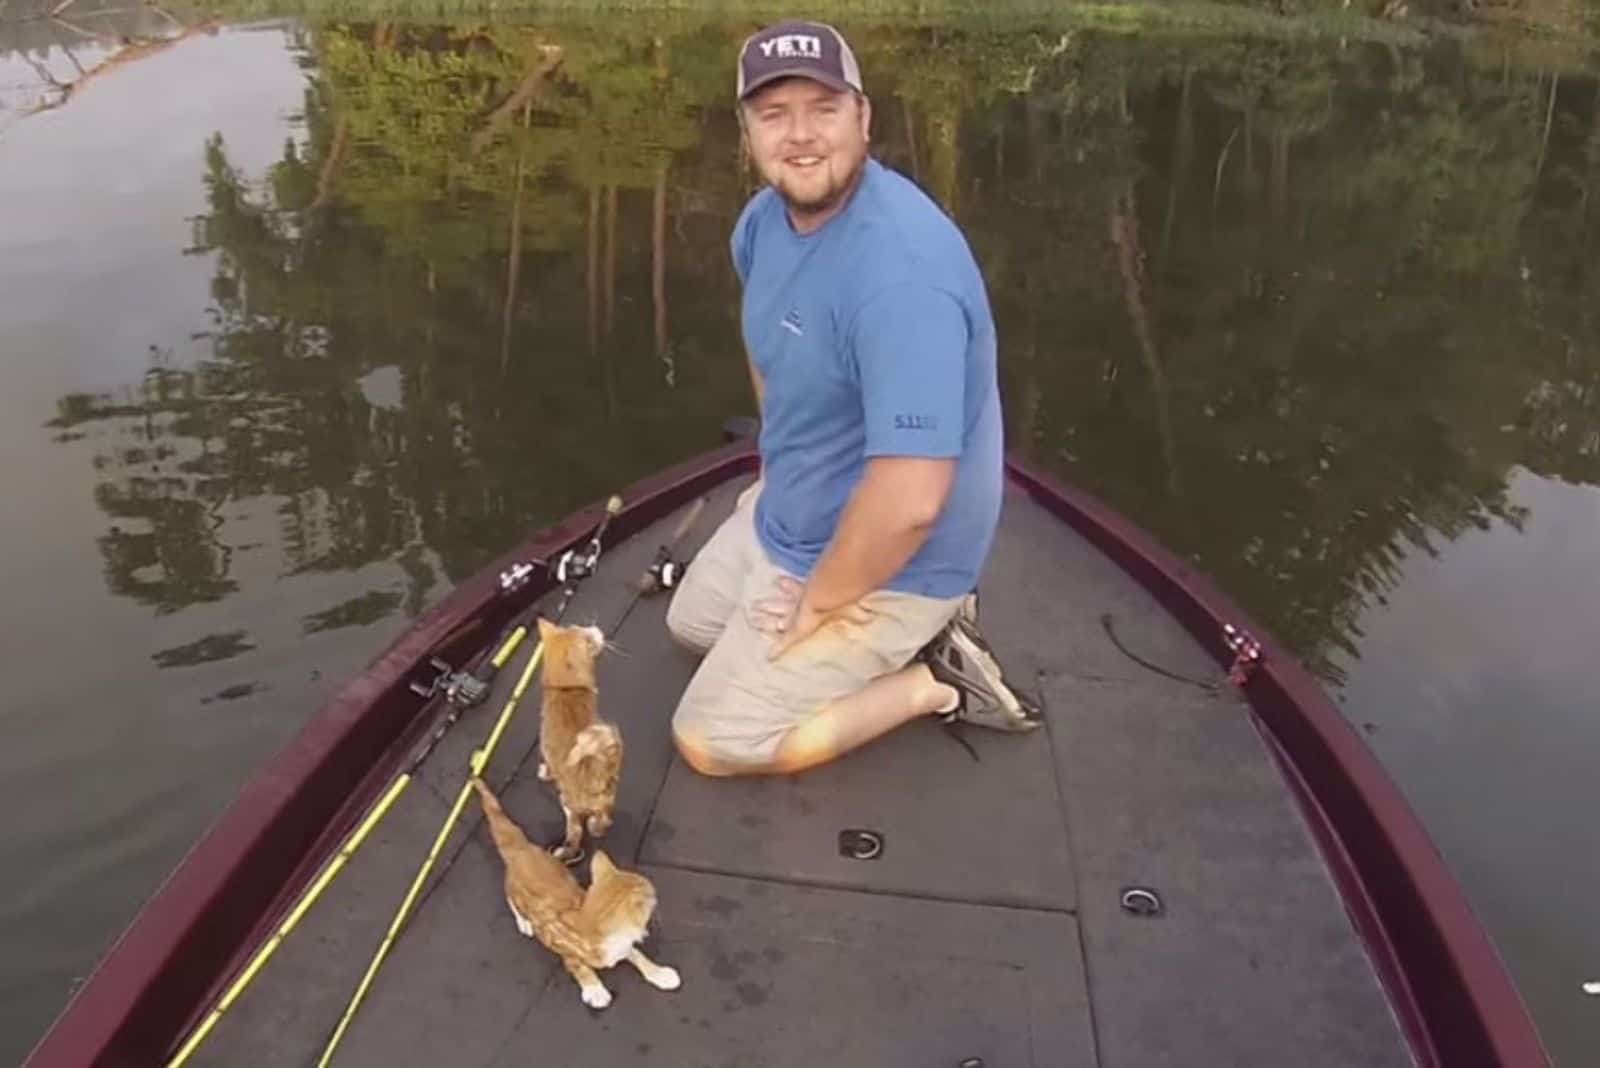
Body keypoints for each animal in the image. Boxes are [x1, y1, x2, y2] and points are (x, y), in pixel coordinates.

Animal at [470, 777, 678, 1010]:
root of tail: (522, 850)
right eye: (652, 896)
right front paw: (595, 990)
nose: (656, 895)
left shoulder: (622, 945)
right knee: (511, 900)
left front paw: (660, 974)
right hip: (515, 889)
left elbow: (637, 955)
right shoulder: (566, 951)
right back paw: (524, 922)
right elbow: (580, 968)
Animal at [531, 617, 617, 856]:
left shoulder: (547, 753)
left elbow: (548, 769)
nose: (596, 628)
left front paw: (543, 773)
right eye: (585, 633)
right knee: (604, 819)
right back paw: (596, 828)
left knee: (576, 830)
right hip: (606, 797)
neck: (565, 689)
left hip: (567, 801)